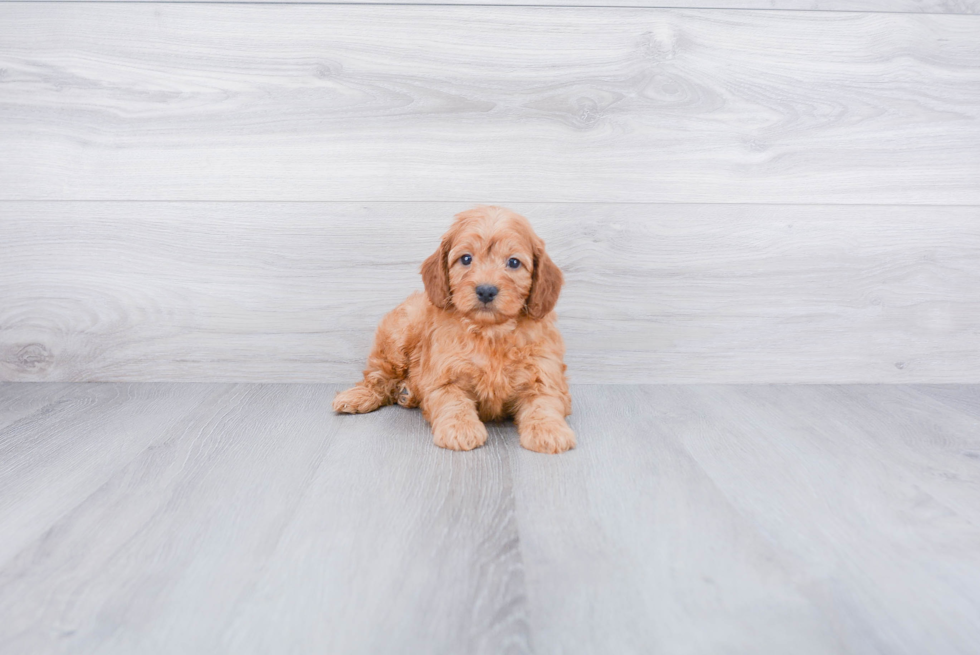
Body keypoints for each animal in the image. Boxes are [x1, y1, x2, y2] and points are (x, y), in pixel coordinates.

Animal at [334, 208, 576, 454]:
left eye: (514, 262)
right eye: (466, 259)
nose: (486, 290)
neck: (490, 332)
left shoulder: (545, 374)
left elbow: (544, 402)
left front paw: (549, 431)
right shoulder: (445, 375)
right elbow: (453, 402)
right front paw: (461, 429)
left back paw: (407, 393)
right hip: (398, 336)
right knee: (378, 375)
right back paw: (359, 396)